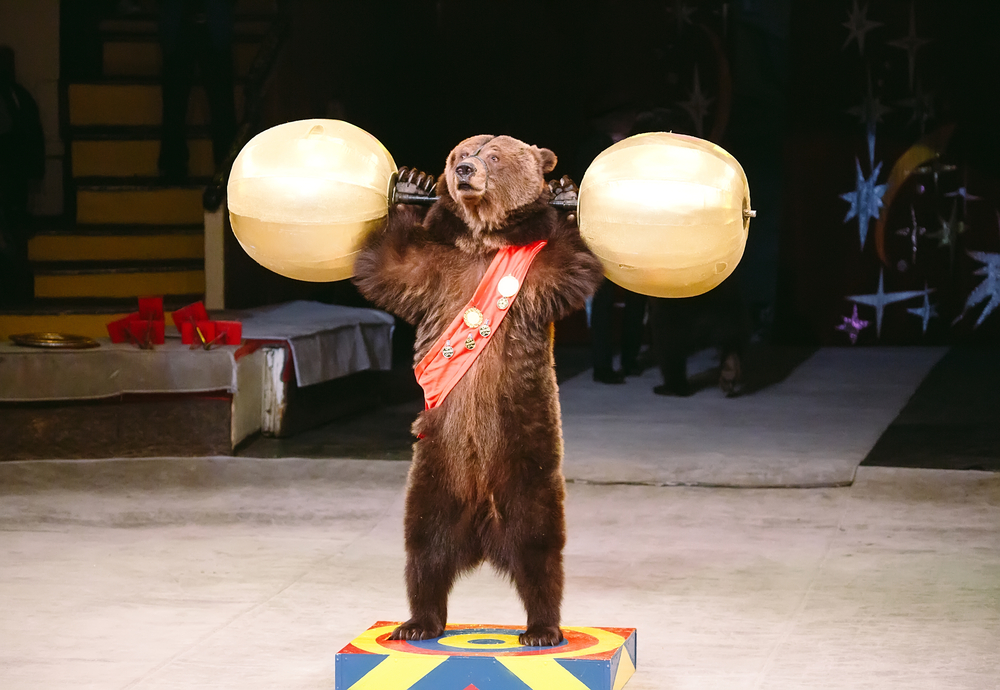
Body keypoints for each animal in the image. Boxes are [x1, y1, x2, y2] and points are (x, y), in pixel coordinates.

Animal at [353, 134, 605, 646]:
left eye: (494, 155)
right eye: (458, 154)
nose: (464, 170)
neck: (482, 241)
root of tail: (482, 524)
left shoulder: (535, 280)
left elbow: (572, 265)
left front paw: (567, 193)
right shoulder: (434, 273)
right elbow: (389, 265)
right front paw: (412, 184)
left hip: (528, 460)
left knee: (539, 549)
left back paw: (542, 628)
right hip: (433, 471)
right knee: (424, 549)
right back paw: (417, 622)